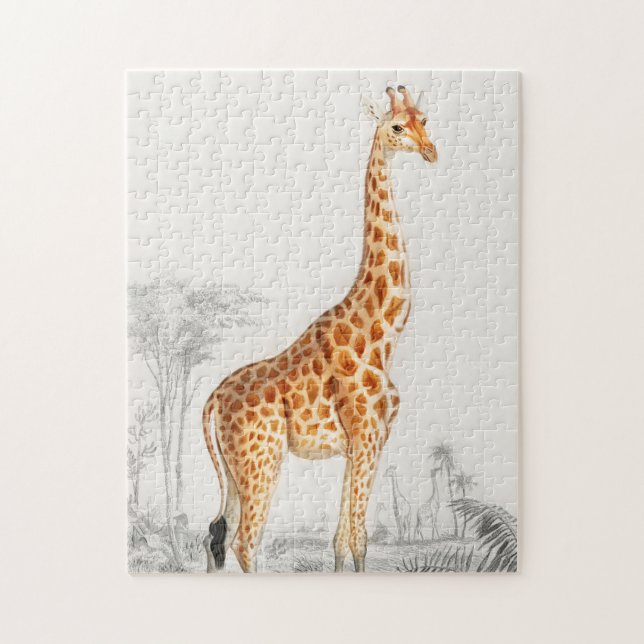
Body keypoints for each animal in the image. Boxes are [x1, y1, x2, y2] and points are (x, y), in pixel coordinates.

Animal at [202, 85, 437, 573]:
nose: (430, 151)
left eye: (424, 119)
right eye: (396, 126)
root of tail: (212, 401)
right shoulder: (367, 437)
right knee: (244, 541)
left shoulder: (362, 444)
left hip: (234, 469)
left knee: (216, 534)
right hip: (261, 461)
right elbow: (361, 540)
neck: (382, 336)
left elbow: (342, 541)